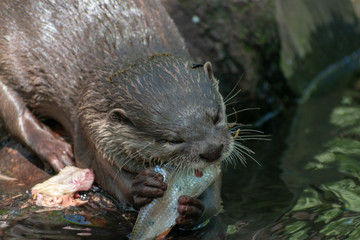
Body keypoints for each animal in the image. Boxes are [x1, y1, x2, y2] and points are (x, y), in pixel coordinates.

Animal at [0, 0, 233, 229]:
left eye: (216, 117)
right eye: (172, 140)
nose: (212, 150)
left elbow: (214, 202)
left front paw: (195, 209)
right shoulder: (89, 127)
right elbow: (107, 175)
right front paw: (141, 186)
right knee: (16, 114)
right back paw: (56, 150)